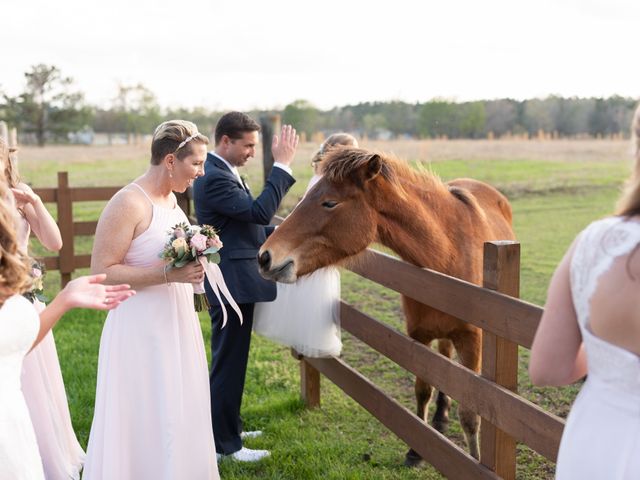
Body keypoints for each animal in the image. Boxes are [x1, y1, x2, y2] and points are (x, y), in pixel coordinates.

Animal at [258, 147, 516, 464]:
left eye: (329, 202)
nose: (265, 257)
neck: (448, 255)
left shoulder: (473, 341)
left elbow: (470, 413)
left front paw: (475, 459)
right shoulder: (419, 337)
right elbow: (423, 390)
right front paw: (417, 450)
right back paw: (440, 417)